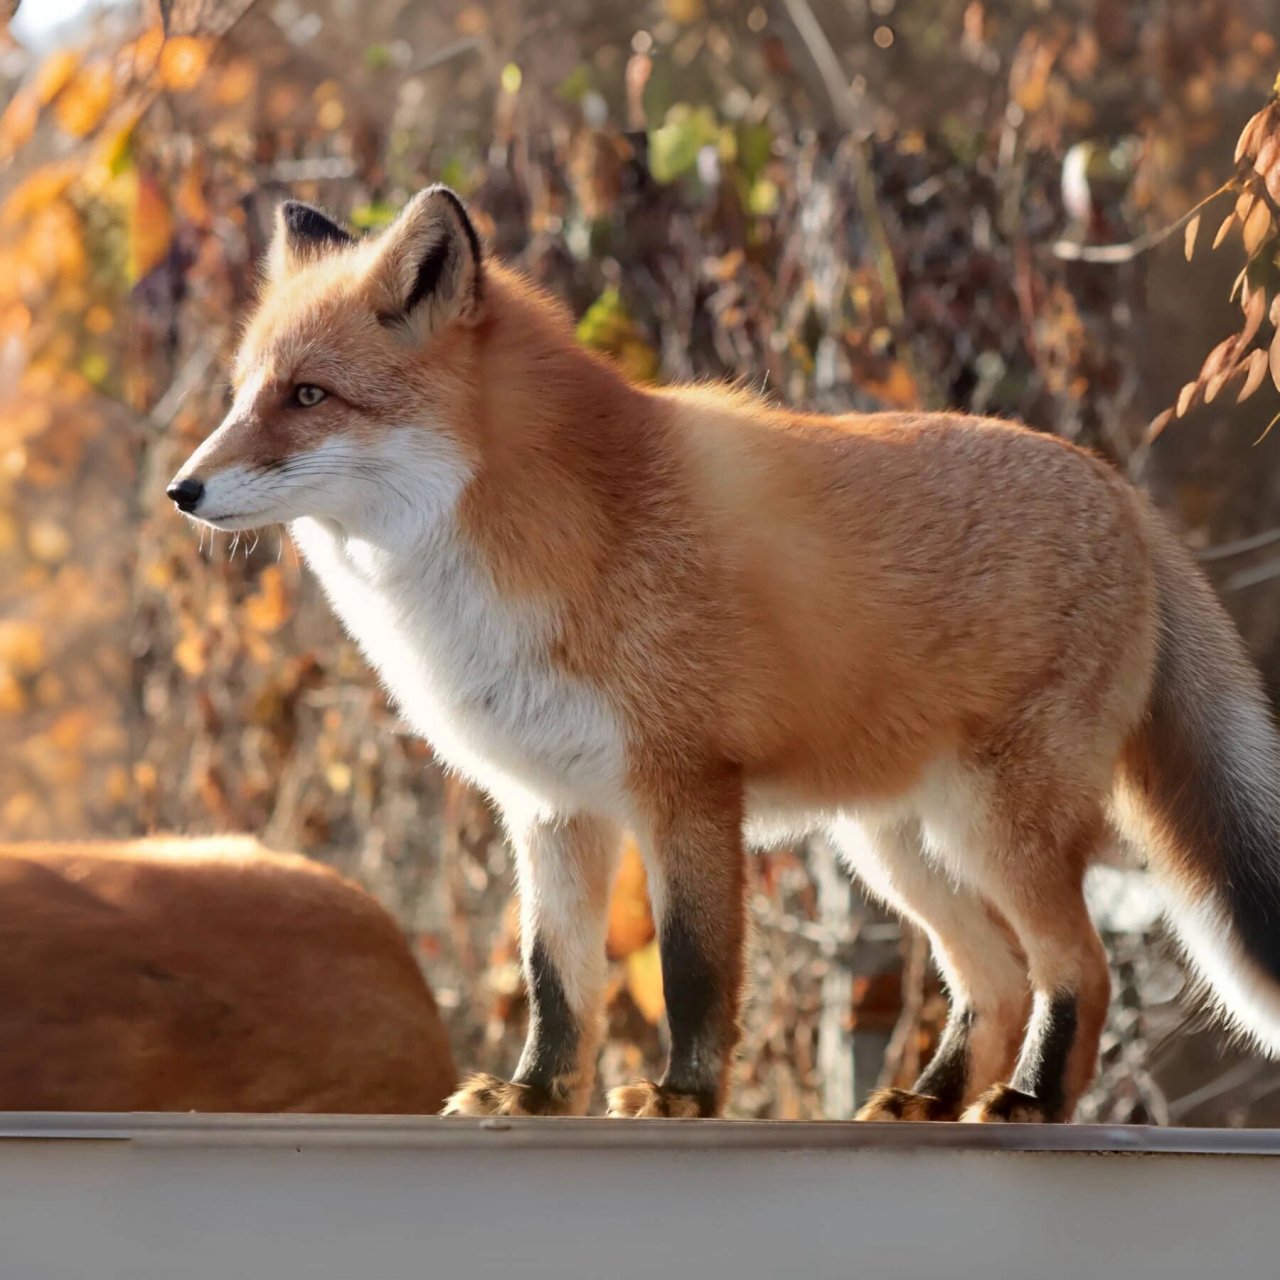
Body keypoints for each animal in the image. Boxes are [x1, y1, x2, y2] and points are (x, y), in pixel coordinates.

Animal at [170, 186, 1280, 1121]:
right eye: (241, 393)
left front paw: (683, 1097)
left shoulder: (687, 785)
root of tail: (1117, 486)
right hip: (897, 846)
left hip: (991, 830)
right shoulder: (551, 808)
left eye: (309, 396)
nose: (182, 489)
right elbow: (555, 978)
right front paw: (535, 1096)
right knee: (996, 979)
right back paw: (925, 1101)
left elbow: (693, 968)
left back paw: (1031, 1103)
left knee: (1078, 967)